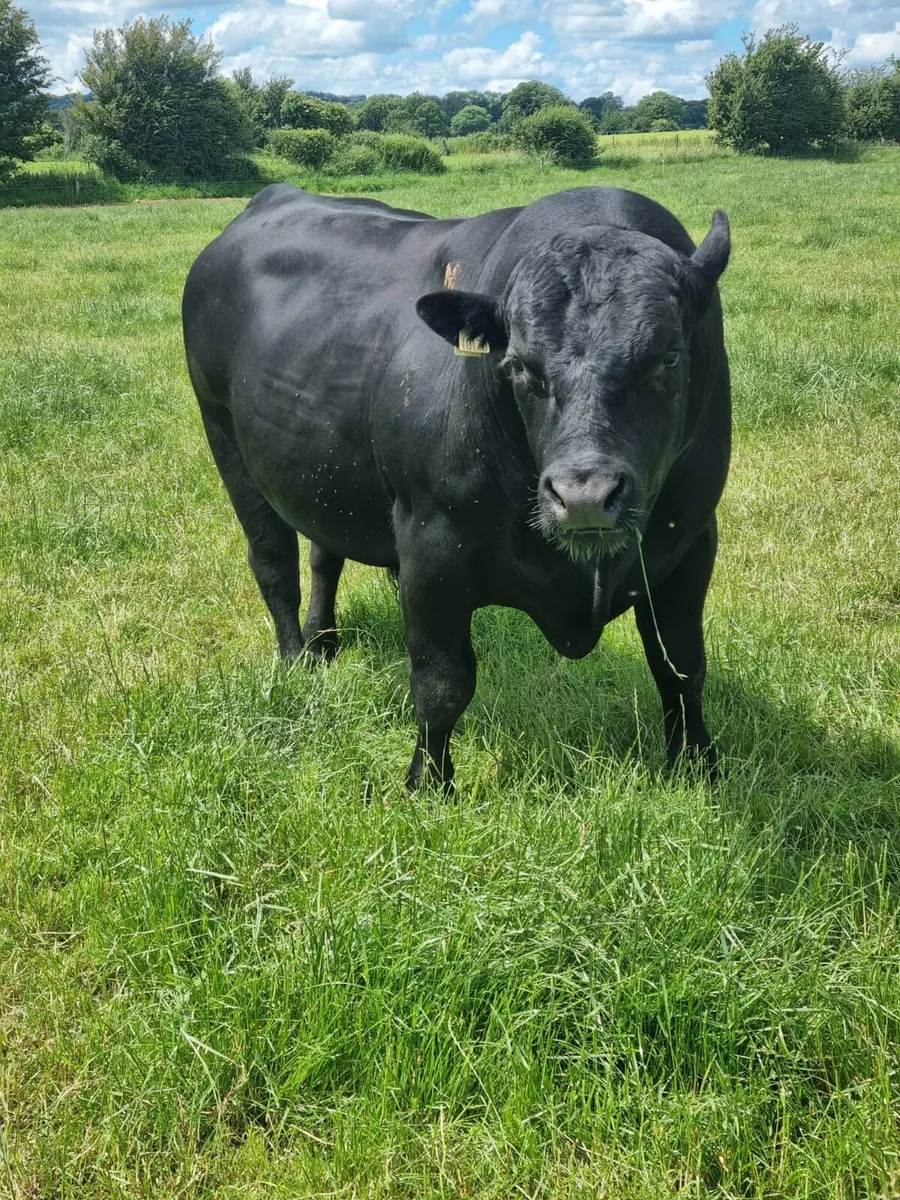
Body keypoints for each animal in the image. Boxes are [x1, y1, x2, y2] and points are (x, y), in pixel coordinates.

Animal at [182, 184, 731, 791]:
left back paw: (324, 642)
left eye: (670, 356)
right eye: (519, 366)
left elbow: (681, 666)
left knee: (325, 555)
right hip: (224, 435)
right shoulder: (431, 546)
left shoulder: (691, 543)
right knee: (273, 560)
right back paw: (296, 659)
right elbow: (442, 682)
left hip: (324, 470)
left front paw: (698, 765)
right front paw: (429, 784)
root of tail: (274, 196)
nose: (584, 497)